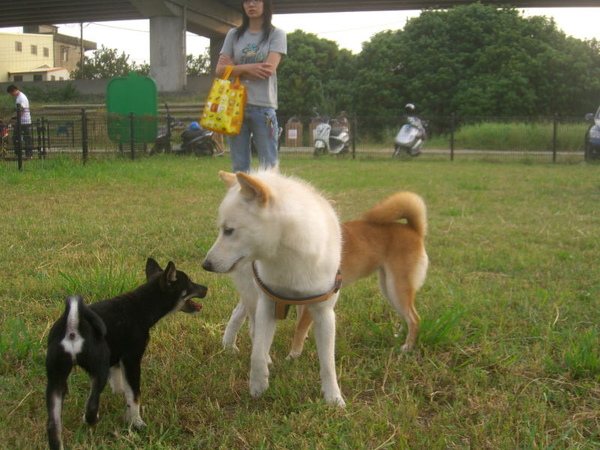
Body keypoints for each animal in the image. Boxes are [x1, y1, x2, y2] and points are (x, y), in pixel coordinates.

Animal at [45, 258, 209, 448]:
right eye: (189, 283)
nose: (206, 288)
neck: (141, 306)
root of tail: (73, 326)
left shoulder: (116, 359)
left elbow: (119, 384)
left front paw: (119, 395)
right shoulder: (132, 360)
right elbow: (134, 396)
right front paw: (136, 422)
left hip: (56, 380)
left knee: (53, 425)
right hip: (98, 370)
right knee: (92, 405)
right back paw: (91, 420)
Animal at [202, 170, 344, 408]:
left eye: (229, 231)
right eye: (221, 230)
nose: (206, 265)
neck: (287, 256)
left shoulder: (324, 313)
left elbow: (328, 363)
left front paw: (333, 397)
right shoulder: (267, 304)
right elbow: (258, 352)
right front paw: (258, 385)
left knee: (239, 313)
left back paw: (229, 344)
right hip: (253, 293)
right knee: (251, 326)